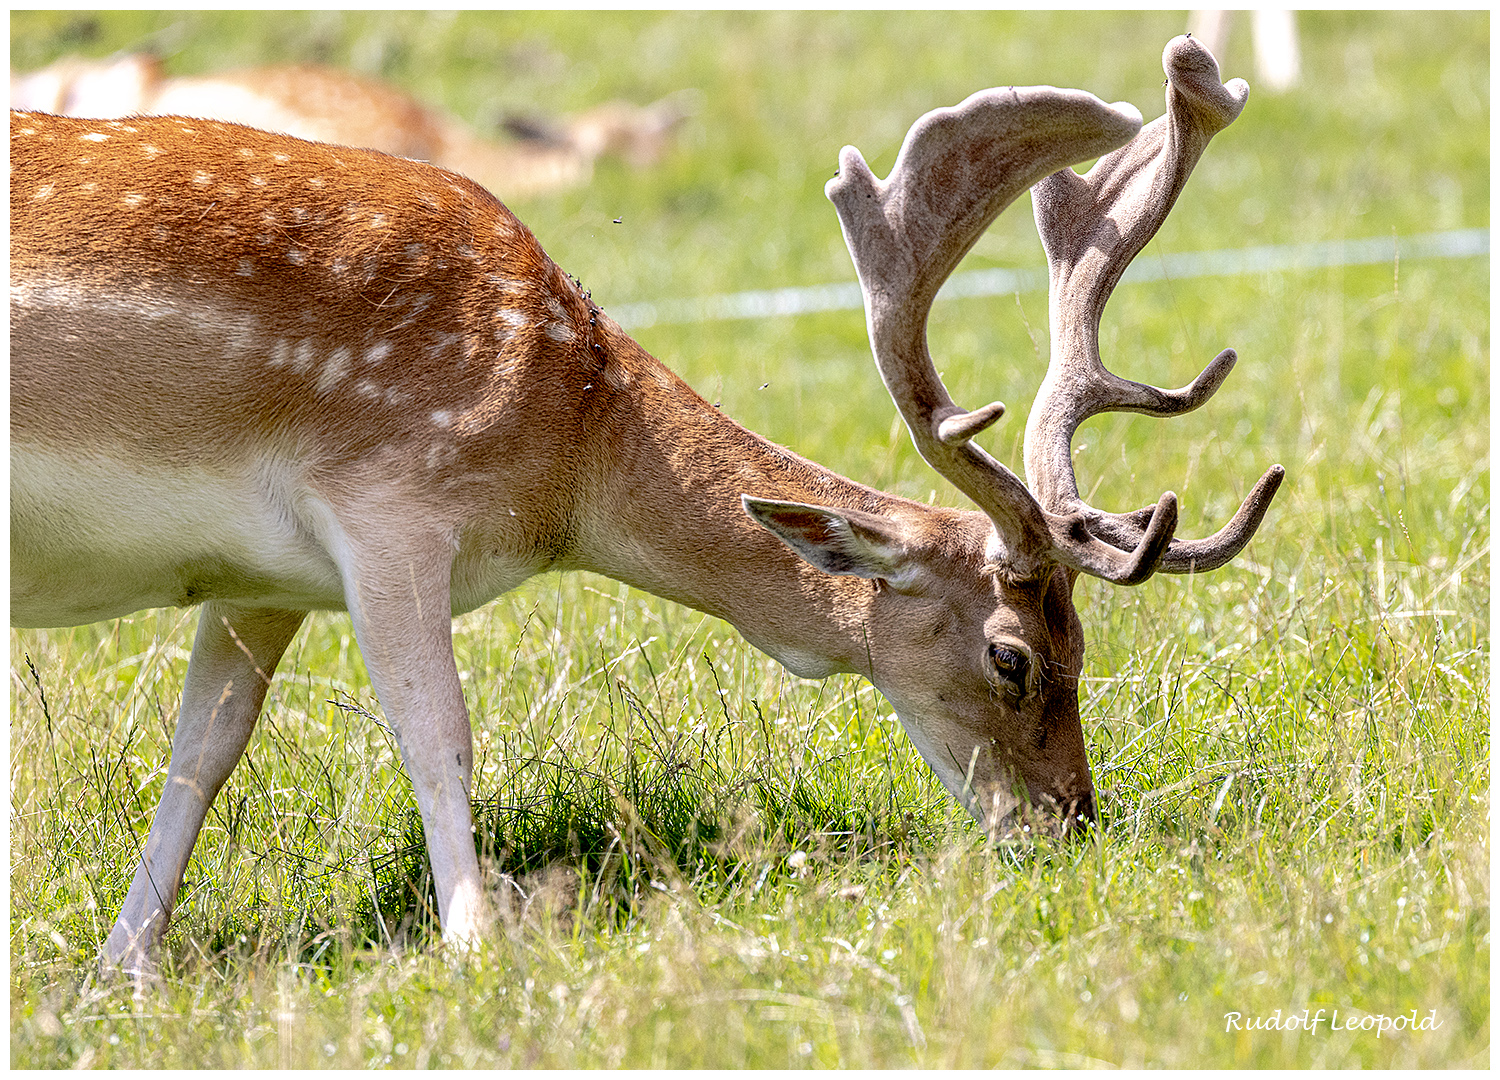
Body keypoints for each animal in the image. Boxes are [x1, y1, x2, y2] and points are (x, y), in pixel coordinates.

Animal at [8, 35, 1278, 978]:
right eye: (1013, 656)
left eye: (1085, 645)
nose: (1071, 821)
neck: (567, 446)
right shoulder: (392, 499)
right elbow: (437, 732)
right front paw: (477, 948)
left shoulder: (259, 581)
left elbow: (202, 754)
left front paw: (121, 968)